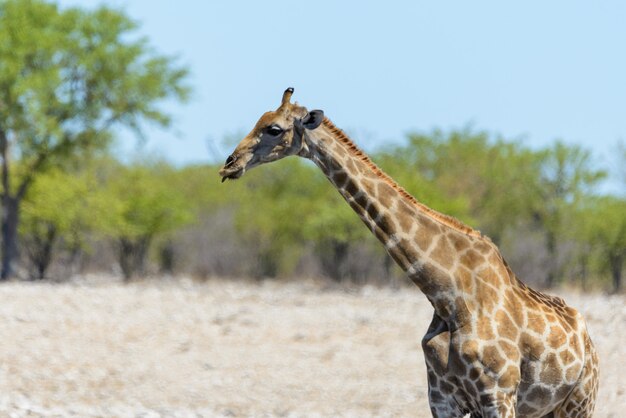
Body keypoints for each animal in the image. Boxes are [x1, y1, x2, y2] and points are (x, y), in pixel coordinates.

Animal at [217, 89, 596, 418]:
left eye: (274, 128)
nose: (229, 165)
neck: (447, 296)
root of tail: (588, 344)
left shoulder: (498, 396)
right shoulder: (442, 399)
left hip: (579, 401)